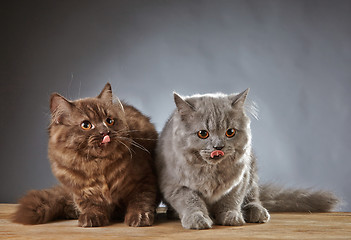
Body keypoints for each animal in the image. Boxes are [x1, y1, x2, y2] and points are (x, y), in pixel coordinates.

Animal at [13, 82, 160, 227]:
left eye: (109, 121)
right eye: (86, 125)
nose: (105, 132)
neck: (98, 165)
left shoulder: (144, 178)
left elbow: (140, 200)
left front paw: (139, 217)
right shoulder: (80, 190)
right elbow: (91, 205)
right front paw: (91, 217)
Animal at [156, 89, 338, 230]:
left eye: (230, 132)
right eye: (203, 134)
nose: (218, 147)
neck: (211, 171)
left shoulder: (239, 180)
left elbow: (231, 201)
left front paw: (231, 217)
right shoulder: (176, 186)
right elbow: (192, 202)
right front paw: (198, 220)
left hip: (252, 172)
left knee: (253, 198)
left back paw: (257, 212)